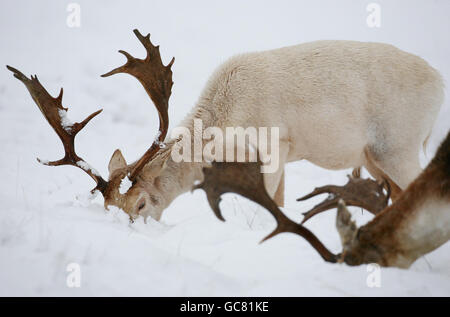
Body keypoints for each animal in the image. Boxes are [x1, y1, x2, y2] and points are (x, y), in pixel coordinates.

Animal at [7, 30, 442, 222]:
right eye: (108, 206)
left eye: (142, 203)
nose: (131, 229)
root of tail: (440, 82)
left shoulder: (274, 145)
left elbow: (273, 203)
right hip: (373, 159)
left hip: (398, 145)